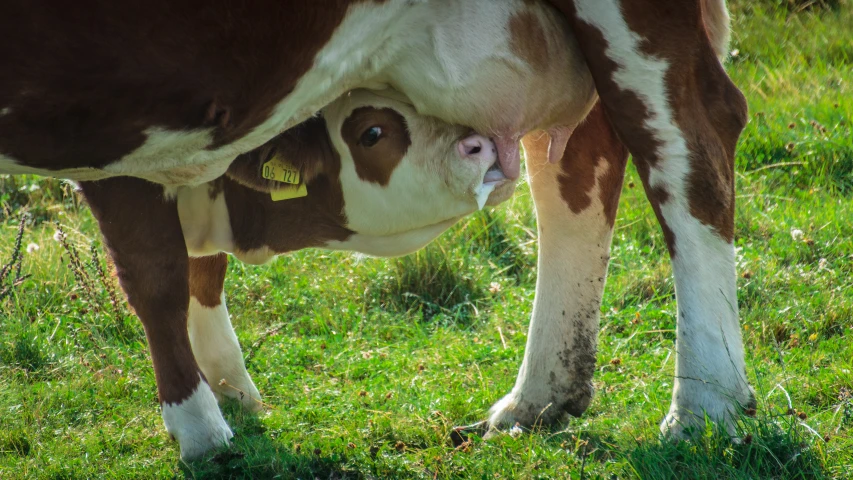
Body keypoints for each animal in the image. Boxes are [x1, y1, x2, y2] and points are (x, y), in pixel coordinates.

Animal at [0, 0, 752, 460]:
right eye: (371, 130)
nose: (475, 147)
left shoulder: (107, 134)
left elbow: (153, 279)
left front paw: (199, 428)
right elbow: (195, 270)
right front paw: (231, 392)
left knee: (687, 140)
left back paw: (703, 407)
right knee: (577, 157)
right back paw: (539, 398)